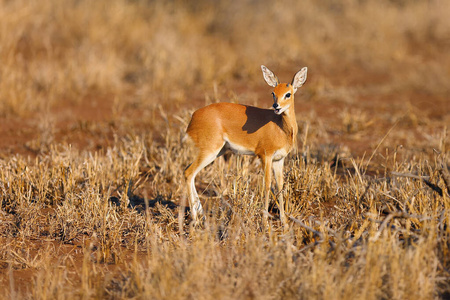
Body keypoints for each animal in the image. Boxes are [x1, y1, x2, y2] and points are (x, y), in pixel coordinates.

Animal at [185, 66, 308, 225]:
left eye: (288, 94)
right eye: (273, 93)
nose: (276, 106)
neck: (280, 127)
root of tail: (194, 116)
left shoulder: (279, 160)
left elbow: (280, 186)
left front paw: (284, 221)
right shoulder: (265, 156)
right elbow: (267, 185)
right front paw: (265, 221)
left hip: (217, 152)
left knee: (191, 173)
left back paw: (202, 215)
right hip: (210, 151)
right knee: (188, 173)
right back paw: (195, 219)